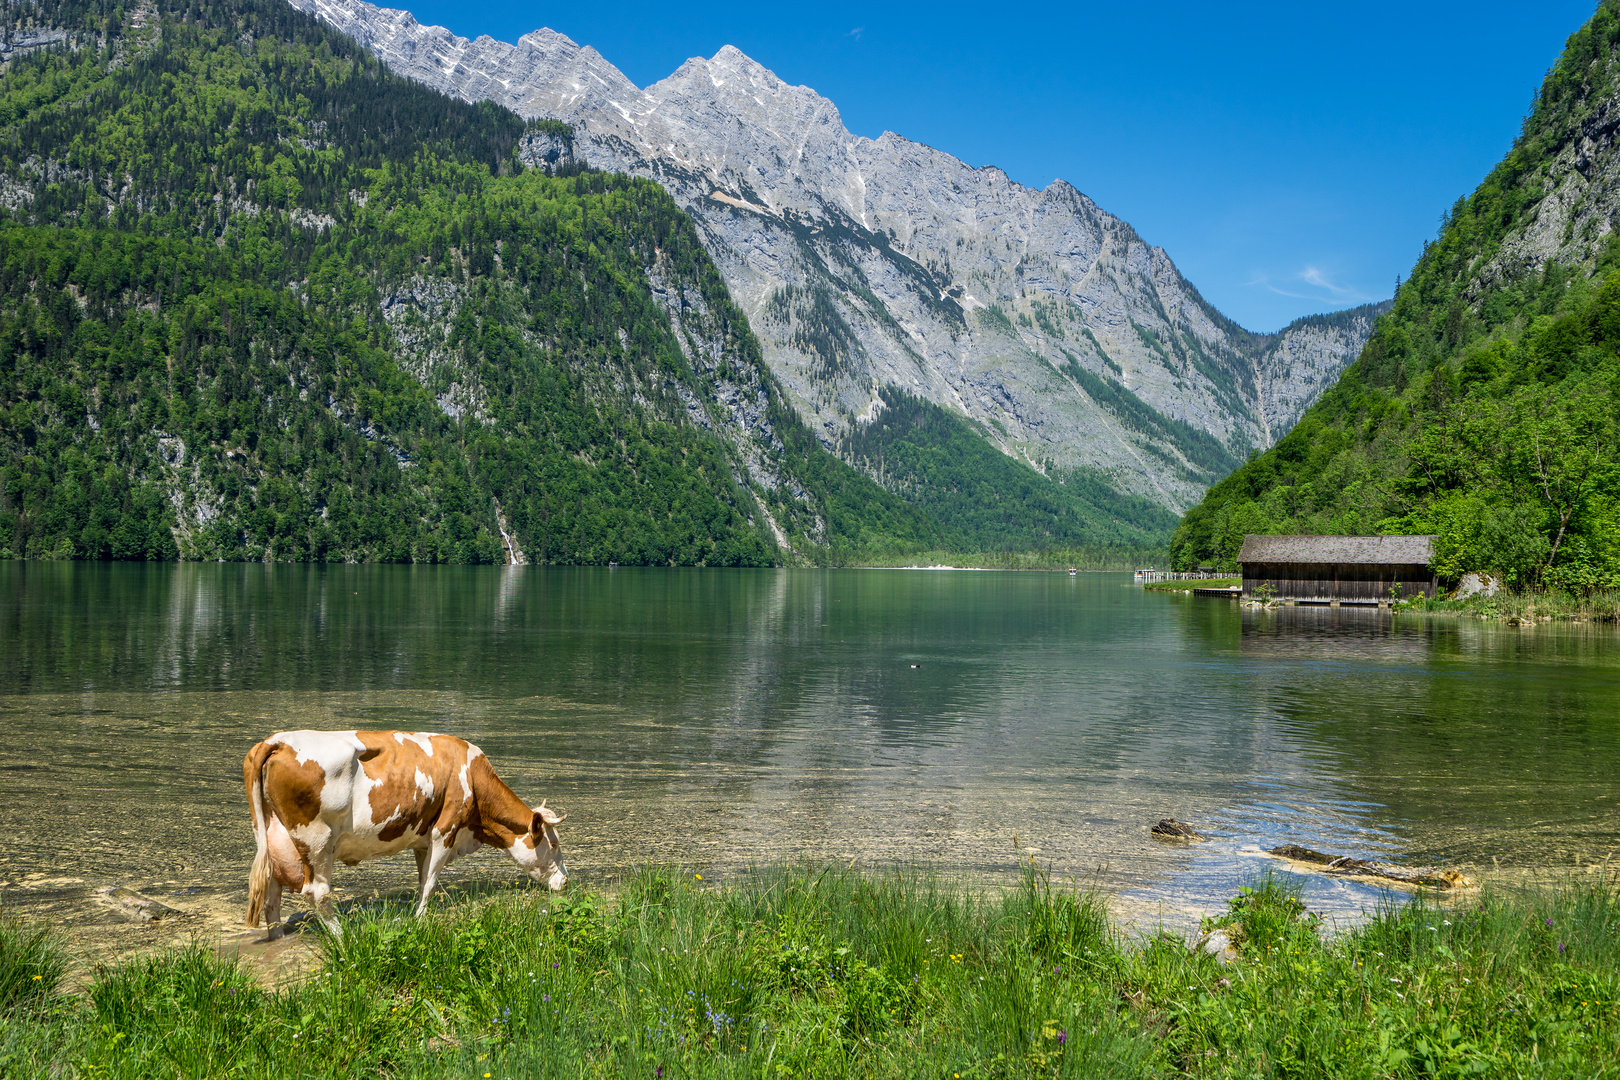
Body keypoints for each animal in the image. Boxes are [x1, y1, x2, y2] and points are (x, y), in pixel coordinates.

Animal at [243, 731, 567, 939]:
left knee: (271, 896)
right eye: (553, 843)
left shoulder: (422, 840)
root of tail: (277, 741)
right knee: (317, 892)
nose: (565, 881)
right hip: (317, 841)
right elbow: (431, 882)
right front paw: (421, 919)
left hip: (271, 839)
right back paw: (343, 935)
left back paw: (277, 938)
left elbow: (423, 879)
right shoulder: (444, 830)